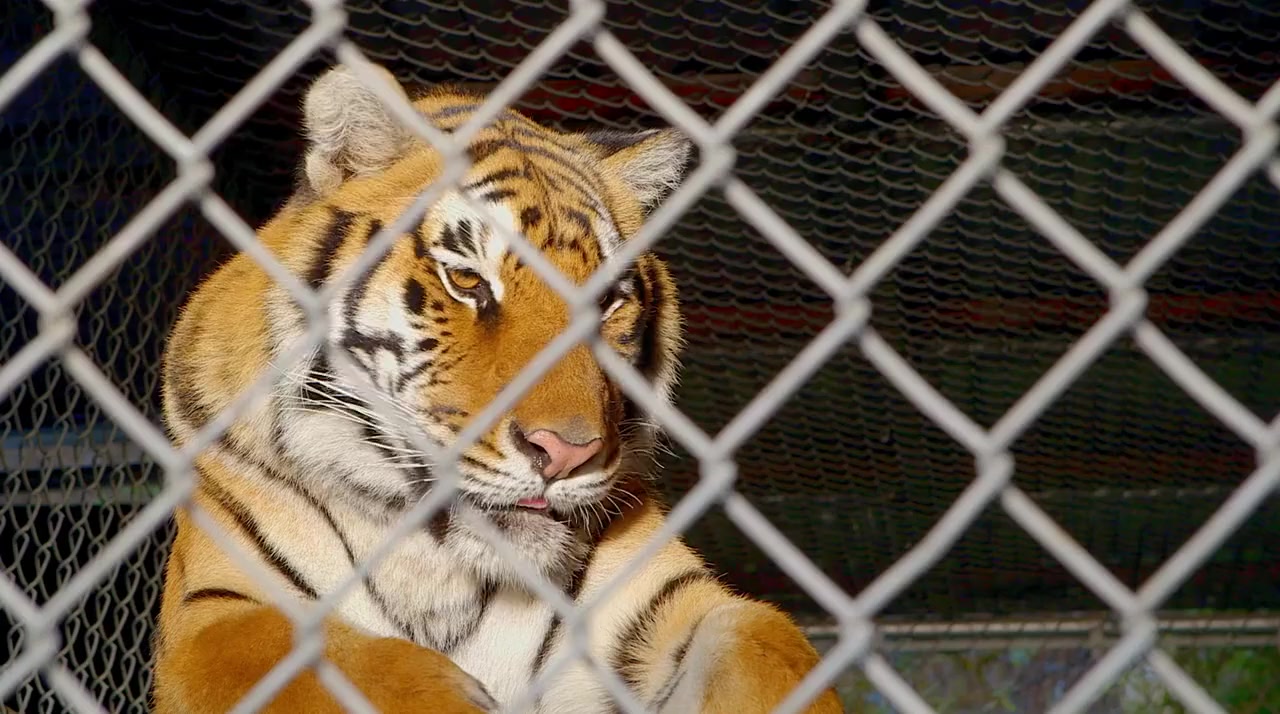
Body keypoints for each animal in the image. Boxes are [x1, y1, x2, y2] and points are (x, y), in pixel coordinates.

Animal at [150, 61, 844, 714]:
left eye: (608, 302)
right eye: (466, 280)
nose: (566, 454)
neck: (437, 567)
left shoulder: (668, 602)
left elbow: (766, 640)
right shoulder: (211, 613)